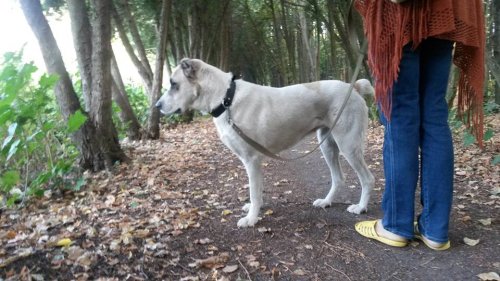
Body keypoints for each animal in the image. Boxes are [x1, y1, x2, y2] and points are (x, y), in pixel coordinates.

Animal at [156, 58, 376, 226]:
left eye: (173, 84)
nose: (157, 106)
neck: (227, 99)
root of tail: (354, 88)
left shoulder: (251, 160)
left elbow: (254, 192)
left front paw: (251, 218)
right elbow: (258, 190)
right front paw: (255, 210)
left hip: (348, 145)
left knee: (367, 178)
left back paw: (361, 207)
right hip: (328, 145)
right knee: (338, 178)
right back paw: (326, 202)